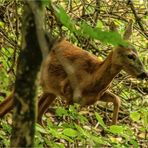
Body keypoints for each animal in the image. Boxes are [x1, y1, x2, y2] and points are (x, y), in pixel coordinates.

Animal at [0, 20, 147, 125]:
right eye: (131, 56)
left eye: (138, 54)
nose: (144, 73)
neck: (90, 79)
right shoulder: (69, 93)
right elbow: (68, 122)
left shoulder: (95, 96)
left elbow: (117, 99)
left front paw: (112, 128)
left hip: (50, 89)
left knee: (38, 114)